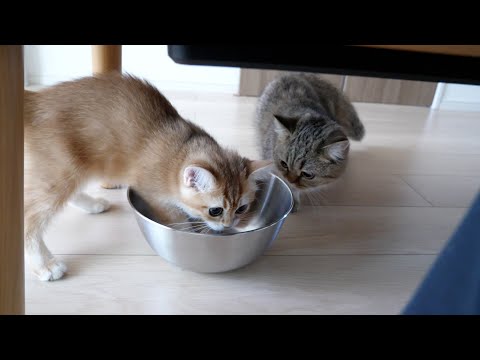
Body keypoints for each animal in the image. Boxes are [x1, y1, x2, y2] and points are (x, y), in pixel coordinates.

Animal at [24, 73, 270, 282]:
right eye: (215, 211)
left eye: (242, 208)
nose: (230, 224)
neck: (178, 153)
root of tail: (35, 100)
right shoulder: (155, 195)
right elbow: (178, 220)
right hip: (61, 171)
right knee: (29, 218)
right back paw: (45, 265)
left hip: (75, 169)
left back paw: (93, 204)